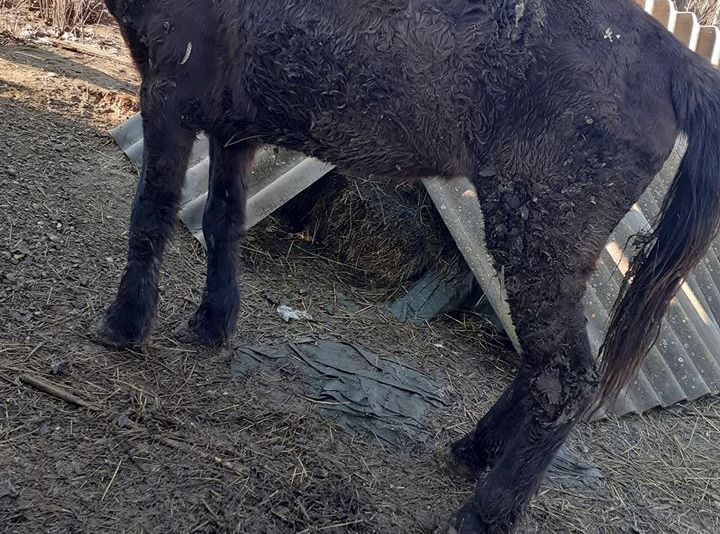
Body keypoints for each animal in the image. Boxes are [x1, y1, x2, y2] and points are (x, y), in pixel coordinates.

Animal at [101, 1, 720, 532]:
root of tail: (671, 56)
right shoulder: (234, 129)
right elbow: (221, 223)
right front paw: (212, 324)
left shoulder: (170, 96)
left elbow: (151, 213)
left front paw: (125, 324)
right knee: (542, 364)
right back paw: (475, 449)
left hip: (541, 232)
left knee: (564, 377)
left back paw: (485, 512)